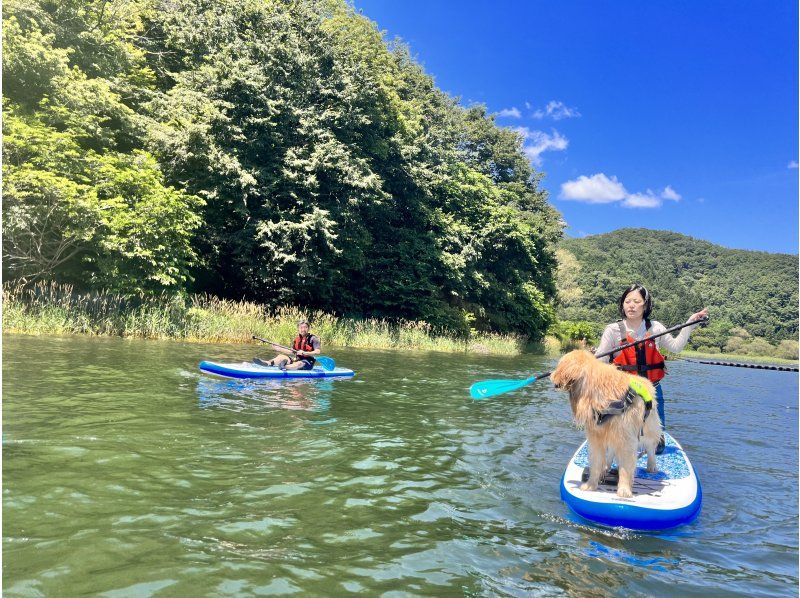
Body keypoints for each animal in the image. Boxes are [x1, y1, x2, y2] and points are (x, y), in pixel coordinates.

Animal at [552, 350, 660, 500]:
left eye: (558, 366)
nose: (550, 375)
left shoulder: (627, 439)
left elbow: (626, 468)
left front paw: (624, 490)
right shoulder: (596, 437)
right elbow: (596, 462)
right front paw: (591, 485)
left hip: (648, 427)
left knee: (651, 447)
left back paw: (652, 465)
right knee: (612, 451)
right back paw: (607, 466)